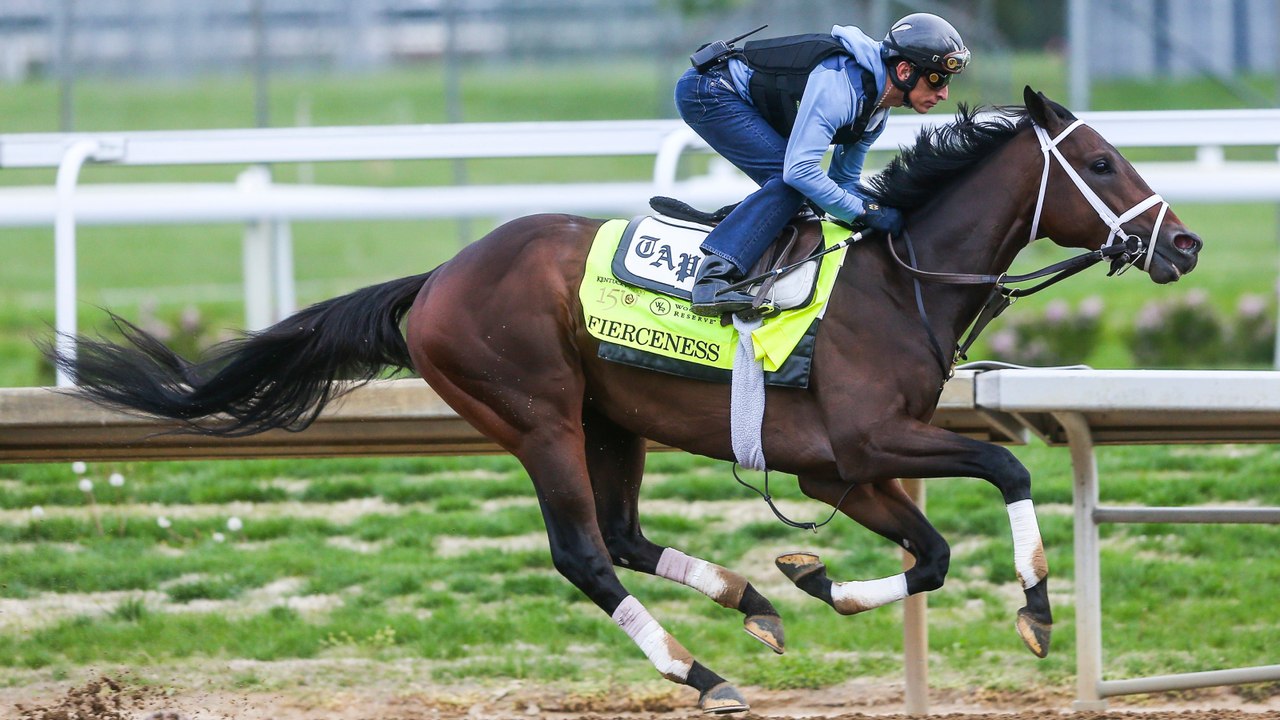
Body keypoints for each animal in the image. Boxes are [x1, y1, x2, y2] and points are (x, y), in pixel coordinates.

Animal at [50, 88, 1201, 714]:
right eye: (1102, 161)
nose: (1184, 243)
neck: (898, 279)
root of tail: (436, 279)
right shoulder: (871, 440)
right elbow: (1002, 467)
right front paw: (1037, 607)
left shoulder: (838, 468)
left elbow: (931, 554)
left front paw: (815, 577)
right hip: (537, 417)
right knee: (584, 553)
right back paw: (700, 670)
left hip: (613, 423)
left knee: (624, 533)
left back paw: (752, 601)